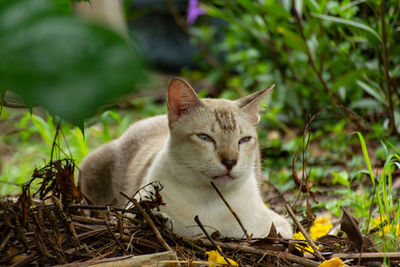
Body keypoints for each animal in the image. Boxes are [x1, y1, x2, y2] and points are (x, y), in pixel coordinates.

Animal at [80, 77, 294, 239]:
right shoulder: (130, 209)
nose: (230, 162)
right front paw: (161, 220)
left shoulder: (279, 226)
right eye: (205, 138)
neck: (208, 201)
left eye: (244, 140)